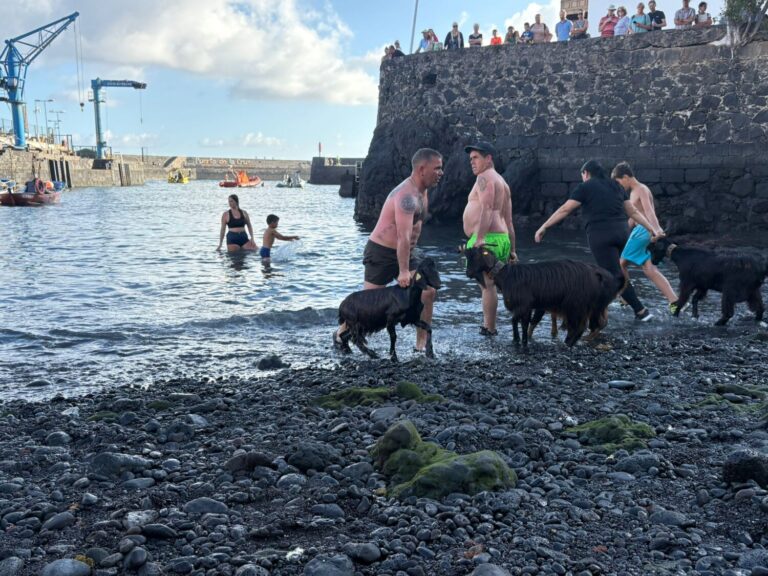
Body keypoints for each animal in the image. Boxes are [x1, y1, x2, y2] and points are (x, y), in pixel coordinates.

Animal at [463, 247, 622, 346]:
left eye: (474, 257)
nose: (467, 273)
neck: (507, 276)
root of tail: (598, 274)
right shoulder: (528, 307)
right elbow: (523, 323)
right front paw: (521, 340)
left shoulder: (523, 304)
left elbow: (515, 320)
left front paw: (518, 340)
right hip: (584, 305)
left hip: (576, 304)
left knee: (579, 326)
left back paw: (568, 344)